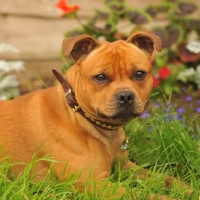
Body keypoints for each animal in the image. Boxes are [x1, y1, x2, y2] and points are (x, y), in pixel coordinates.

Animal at [0, 30, 191, 198]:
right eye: (100, 77)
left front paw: (188, 190)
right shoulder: (95, 185)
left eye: (139, 74)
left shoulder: (125, 166)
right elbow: (147, 195)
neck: (79, 116)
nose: (125, 96)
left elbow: (165, 178)